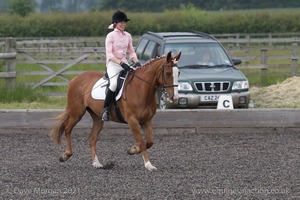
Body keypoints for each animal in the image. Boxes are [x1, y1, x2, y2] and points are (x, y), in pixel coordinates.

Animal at [49, 50, 180, 171]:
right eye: (168, 73)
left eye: (178, 73)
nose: (175, 97)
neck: (141, 89)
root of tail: (75, 79)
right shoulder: (132, 121)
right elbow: (142, 142)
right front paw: (148, 165)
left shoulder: (146, 121)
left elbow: (149, 142)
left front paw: (132, 150)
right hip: (77, 113)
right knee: (67, 129)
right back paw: (66, 155)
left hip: (98, 118)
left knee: (92, 138)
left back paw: (96, 163)